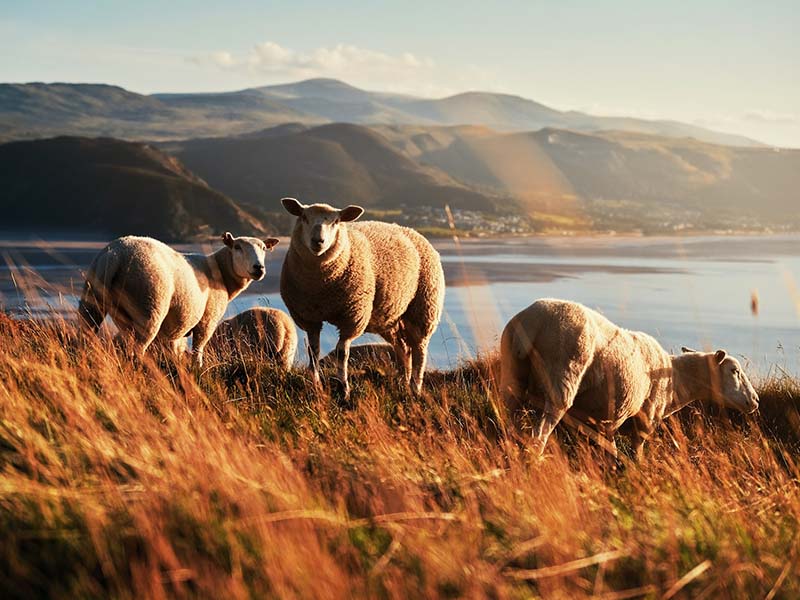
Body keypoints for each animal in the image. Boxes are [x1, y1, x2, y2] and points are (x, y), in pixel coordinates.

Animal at [78, 233, 279, 367]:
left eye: (264, 249)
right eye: (237, 247)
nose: (259, 268)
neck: (220, 273)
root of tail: (115, 255)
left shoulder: (172, 332)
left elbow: (173, 351)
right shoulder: (207, 320)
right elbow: (198, 350)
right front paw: (198, 370)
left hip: (92, 300)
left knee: (87, 336)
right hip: (149, 304)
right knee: (137, 350)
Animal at [279, 198, 445, 397]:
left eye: (336, 221)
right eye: (304, 217)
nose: (318, 241)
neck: (321, 285)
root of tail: (413, 231)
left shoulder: (352, 317)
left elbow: (342, 353)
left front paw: (344, 389)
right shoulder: (309, 318)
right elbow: (314, 351)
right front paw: (316, 385)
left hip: (424, 308)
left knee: (420, 350)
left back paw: (415, 388)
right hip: (389, 317)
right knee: (403, 349)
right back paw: (403, 382)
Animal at [500, 299, 759, 458]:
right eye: (734, 370)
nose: (755, 401)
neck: (675, 379)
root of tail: (532, 321)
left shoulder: (600, 422)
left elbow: (609, 451)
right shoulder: (645, 420)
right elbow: (636, 454)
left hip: (513, 375)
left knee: (507, 418)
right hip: (563, 376)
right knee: (540, 434)